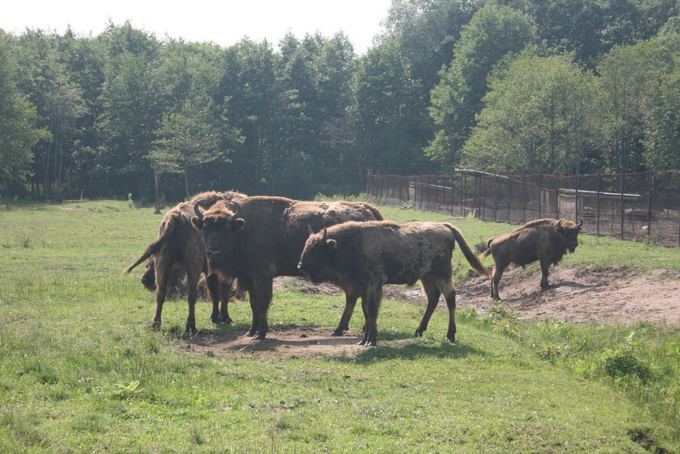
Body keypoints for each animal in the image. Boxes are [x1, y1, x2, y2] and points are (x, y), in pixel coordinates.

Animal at [123, 189, 246, 334]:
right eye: (206, 229)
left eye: (226, 229)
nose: (145, 281)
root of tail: (175, 217)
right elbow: (222, 293)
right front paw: (225, 318)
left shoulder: (210, 271)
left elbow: (215, 292)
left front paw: (216, 317)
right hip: (193, 267)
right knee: (191, 294)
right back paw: (190, 326)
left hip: (163, 262)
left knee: (160, 292)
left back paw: (155, 324)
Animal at [191, 197, 382, 338]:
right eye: (205, 228)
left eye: (225, 228)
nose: (213, 253)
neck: (243, 228)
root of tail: (366, 209)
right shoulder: (250, 277)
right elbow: (254, 304)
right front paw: (251, 331)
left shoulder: (262, 276)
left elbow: (262, 304)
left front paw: (260, 334)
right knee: (355, 298)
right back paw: (346, 329)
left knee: (356, 297)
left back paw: (349, 329)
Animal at [298, 220, 488, 344]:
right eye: (306, 245)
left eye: (317, 249)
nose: (300, 266)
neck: (350, 244)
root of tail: (445, 227)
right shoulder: (363, 289)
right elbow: (366, 311)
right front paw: (364, 339)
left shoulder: (374, 285)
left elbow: (372, 311)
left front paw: (371, 340)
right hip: (427, 277)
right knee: (433, 299)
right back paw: (419, 331)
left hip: (442, 274)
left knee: (450, 298)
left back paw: (450, 335)